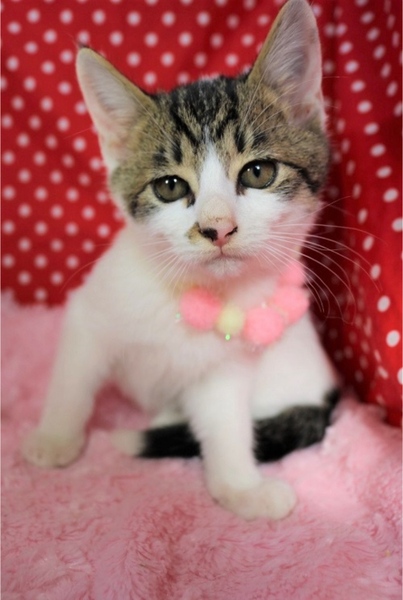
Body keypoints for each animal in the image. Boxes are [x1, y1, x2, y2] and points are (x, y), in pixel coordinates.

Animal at [22, 0, 339, 521]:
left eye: (258, 172)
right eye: (170, 186)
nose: (218, 228)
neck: (186, 294)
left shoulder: (225, 368)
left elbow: (225, 422)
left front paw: (240, 486)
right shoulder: (91, 313)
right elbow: (74, 377)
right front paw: (54, 437)